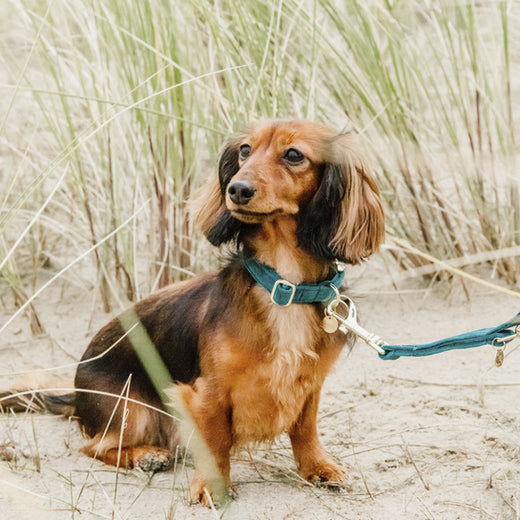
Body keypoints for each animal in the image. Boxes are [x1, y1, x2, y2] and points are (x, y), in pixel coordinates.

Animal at [2, 121, 384, 504]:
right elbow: (215, 442)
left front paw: (318, 467)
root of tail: (76, 393)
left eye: (293, 155)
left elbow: (305, 429)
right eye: (245, 150)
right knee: (95, 447)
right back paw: (146, 456)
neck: (282, 285)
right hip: (131, 409)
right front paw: (212, 486)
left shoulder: (309, 384)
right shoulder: (208, 393)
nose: (237, 189)